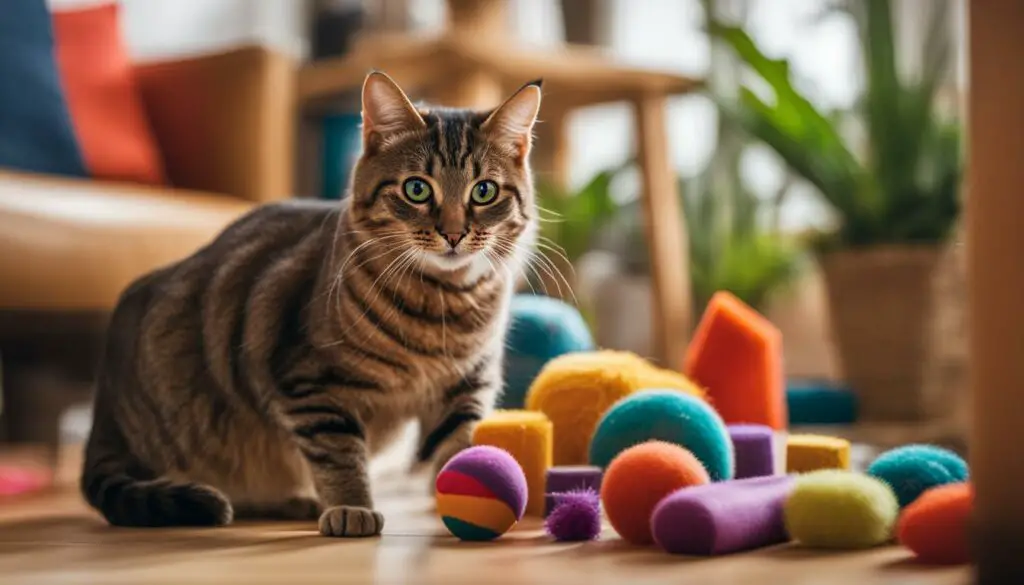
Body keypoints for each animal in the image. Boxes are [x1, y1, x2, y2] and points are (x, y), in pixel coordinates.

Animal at [79, 71, 544, 536]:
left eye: (483, 192)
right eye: (417, 189)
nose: (453, 234)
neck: (442, 306)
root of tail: (105, 412)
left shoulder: (467, 387)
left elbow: (460, 448)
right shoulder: (312, 383)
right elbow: (338, 453)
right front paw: (352, 507)